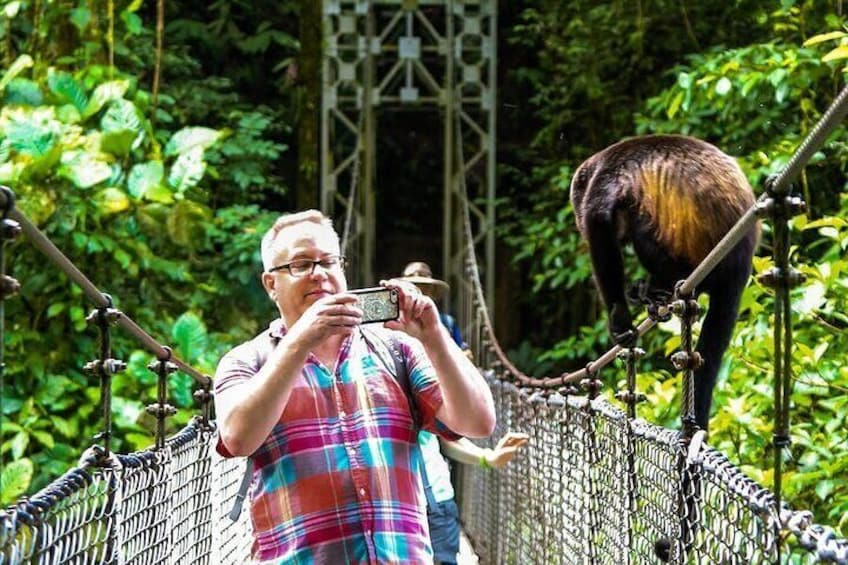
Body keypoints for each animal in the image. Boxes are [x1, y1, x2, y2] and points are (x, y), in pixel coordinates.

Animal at [572, 134, 760, 430]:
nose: (576, 222)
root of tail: (740, 263)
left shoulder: (605, 180)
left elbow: (601, 226)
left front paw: (619, 318)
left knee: (641, 222)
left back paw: (657, 288)